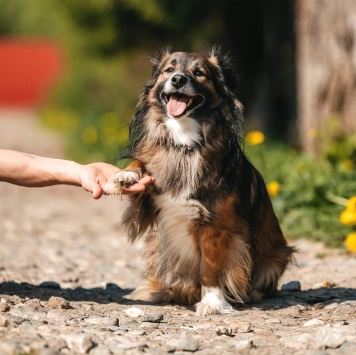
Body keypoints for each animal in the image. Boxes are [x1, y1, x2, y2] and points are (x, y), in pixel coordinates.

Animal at [112, 48, 294, 318]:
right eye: (169, 69)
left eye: (199, 73)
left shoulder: (216, 227)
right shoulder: (147, 203)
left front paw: (212, 302)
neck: (185, 144)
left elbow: (211, 268)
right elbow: (142, 162)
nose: (178, 79)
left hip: (276, 257)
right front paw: (127, 175)